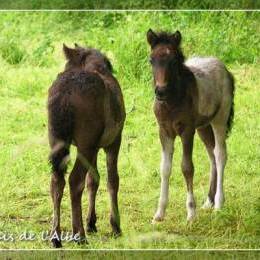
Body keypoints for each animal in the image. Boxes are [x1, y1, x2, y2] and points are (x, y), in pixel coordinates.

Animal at [49, 43, 127, 248]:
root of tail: (65, 94)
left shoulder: (94, 147)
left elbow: (94, 179)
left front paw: (92, 222)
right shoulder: (113, 141)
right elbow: (112, 180)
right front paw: (115, 226)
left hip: (59, 140)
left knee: (57, 181)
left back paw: (56, 236)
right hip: (87, 144)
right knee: (75, 180)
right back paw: (79, 235)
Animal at [146, 29, 236, 222]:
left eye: (173, 61)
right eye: (151, 60)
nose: (160, 91)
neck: (172, 102)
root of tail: (226, 70)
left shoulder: (187, 131)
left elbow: (187, 168)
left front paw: (191, 213)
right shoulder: (164, 131)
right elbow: (165, 168)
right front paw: (159, 213)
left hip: (219, 119)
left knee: (220, 154)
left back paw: (218, 204)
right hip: (203, 127)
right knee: (212, 155)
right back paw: (208, 201)